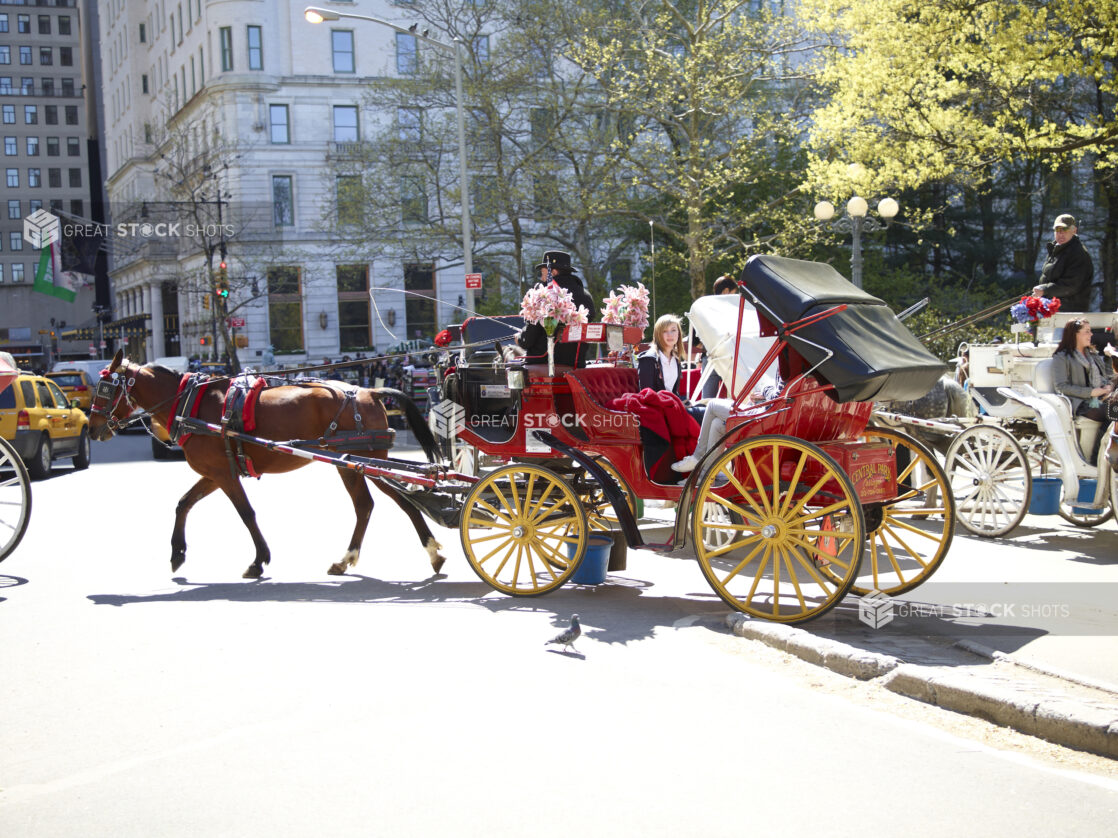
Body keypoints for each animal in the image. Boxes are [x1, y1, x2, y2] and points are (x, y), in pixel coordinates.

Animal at [87, 350, 444, 581]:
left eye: (105, 389)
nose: (92, 429)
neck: (190, 404)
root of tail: (370, 390)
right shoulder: (215, 473)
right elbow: (183, 503)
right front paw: (177, 553)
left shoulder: (222, 473)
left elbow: (246, 513)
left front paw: (259, 560)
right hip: (351, 464)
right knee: (367, 506)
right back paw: (350, 559)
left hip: (367, 462)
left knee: (402, 502)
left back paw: (431, 552)